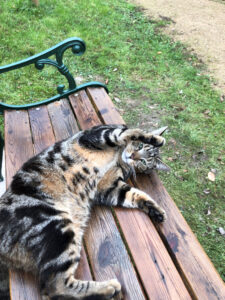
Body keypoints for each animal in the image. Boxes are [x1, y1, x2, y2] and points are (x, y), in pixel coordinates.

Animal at [0, 125, 167, 300]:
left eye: (143, 162)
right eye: (139, 147)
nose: (132, 156)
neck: (119, 159)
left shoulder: (110, 187)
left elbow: (136, 195)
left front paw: (156, 210)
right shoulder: (96, 135)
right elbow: (129, 132)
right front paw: (156, 139)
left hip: (65, 234)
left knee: (55, 287)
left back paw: (108, 289)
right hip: (57, 227)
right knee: (54, 287)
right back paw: (109, 287)